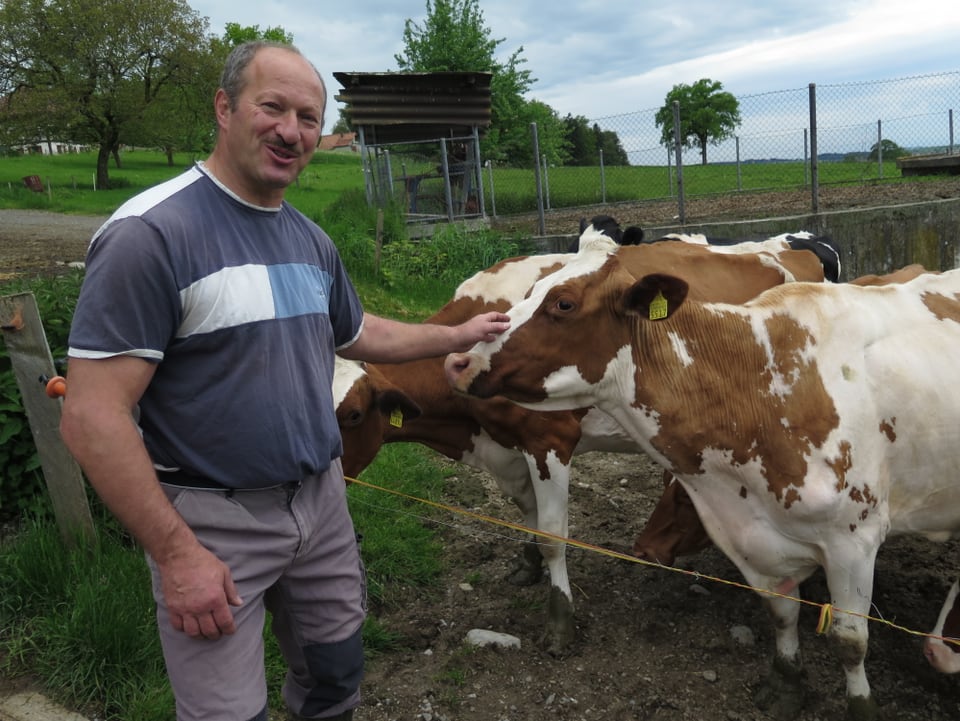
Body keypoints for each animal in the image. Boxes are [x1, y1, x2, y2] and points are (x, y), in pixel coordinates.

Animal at [344, 224, 832, 652]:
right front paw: (527, 566)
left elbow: (552, 534)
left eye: (350, 415)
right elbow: (527, 514)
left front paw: (560, 621)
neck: (465, 429)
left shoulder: (549, 439)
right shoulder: (505, 446)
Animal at [444, 233, 960, 716]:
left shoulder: (854, 539)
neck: (755, 386)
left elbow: (850, 642)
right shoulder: (753, 537)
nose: (459, 360)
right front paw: (785, 685)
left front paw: (861, 707)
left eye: (563, 303)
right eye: (531, 290)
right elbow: (781, 613)